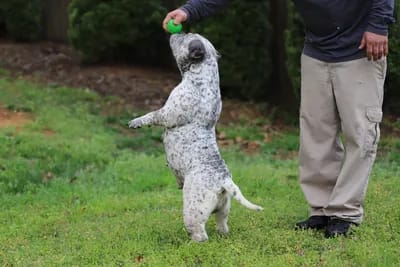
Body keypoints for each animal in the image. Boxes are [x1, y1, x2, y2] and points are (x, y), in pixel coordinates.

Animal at [128, 33, 262, 243]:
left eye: (185, 37)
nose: (175, 33)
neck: (203, 73)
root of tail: (224, 181)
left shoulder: (167, 113)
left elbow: (152, 115)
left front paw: (136, 122)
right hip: (224, 208)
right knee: (222, 224)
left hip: (193, 209)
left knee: (200, 233)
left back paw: (190, 243)